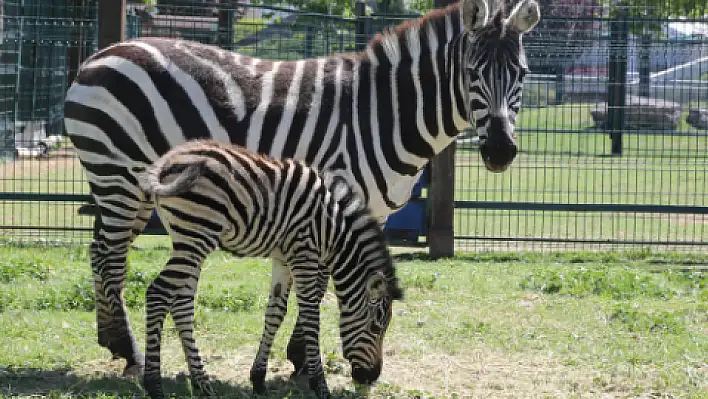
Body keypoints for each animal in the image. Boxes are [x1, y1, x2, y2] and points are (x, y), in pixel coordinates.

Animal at [137, 139, 404, 398]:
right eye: (376, 327)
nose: (371, 378)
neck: (332, 228)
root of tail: (166, 160)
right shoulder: (304, 253)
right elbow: (310, 314)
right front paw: (320, 385)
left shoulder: (283, 259)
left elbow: (275, 313)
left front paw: (258, 379)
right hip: (197, 234)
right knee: (158, 293)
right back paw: (154, 385)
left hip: (188, 240)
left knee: (181, 304)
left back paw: (202, 384)